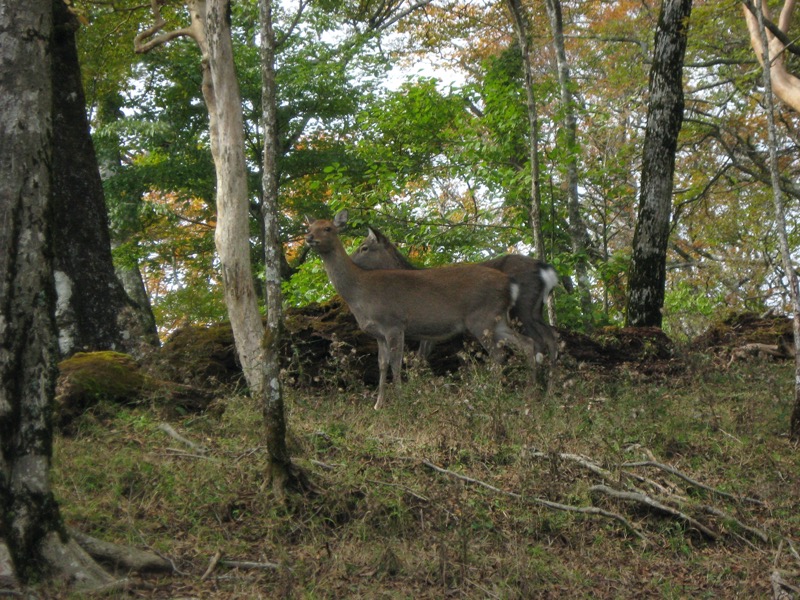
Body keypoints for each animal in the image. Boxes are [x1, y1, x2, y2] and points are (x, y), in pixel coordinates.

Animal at [306, 209, 536, 410]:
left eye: (327, 228)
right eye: (309, 227)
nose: (309, 238)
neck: (360, 293)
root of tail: (510, 283)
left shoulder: (394, 324)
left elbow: (396, 363)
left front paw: (402, 400)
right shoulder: (378, 333)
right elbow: (382, 364)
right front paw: (378, 404)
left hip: (482, 318)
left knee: (499, 354)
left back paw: (494, 393)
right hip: (497, 319)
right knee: (527, 344)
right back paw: (530, 394)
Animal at [350, 226, 564, 366]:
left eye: (364, 247)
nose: (350, 260)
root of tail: (546, 270)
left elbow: (419, 359)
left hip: (522, 307)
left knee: (539, 341)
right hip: (536, 308)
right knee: (551, 337)